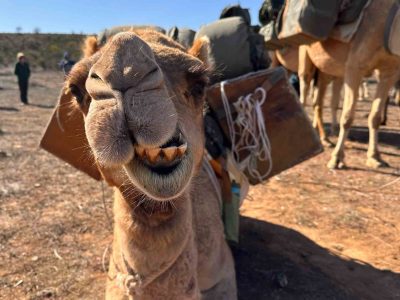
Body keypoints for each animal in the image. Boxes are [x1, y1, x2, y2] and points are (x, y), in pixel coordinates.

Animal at [298, 0, 400, 169]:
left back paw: (325, 139)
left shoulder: (389, 71)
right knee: (304, 87)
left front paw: (375, 157)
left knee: (318, 101)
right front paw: (336, 159)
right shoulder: (354, 67)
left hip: (324, 68)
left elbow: (375, 117)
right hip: (304, 54)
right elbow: (347, 117)